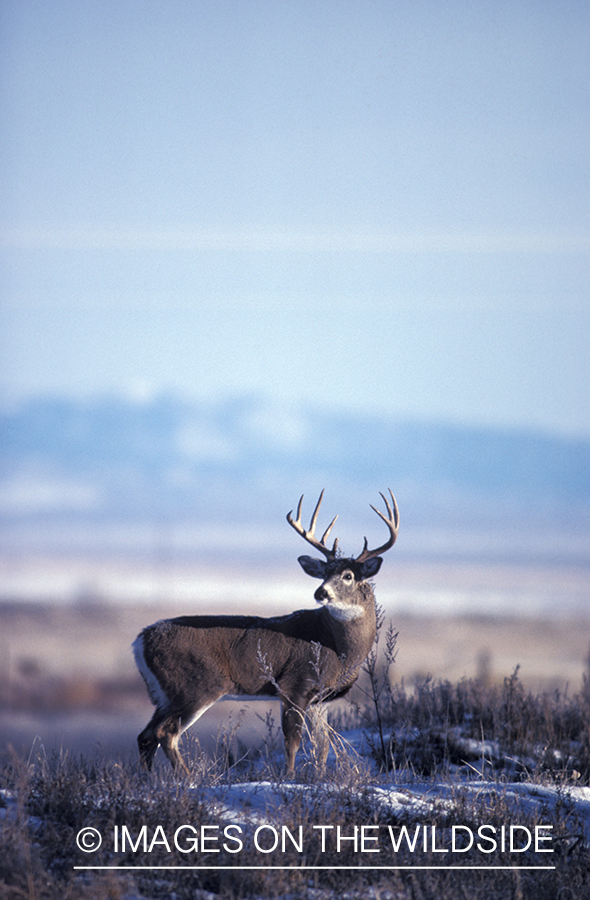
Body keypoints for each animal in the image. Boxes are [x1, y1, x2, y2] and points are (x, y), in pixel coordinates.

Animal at [134, 488, 400, 776]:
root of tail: (140, 641)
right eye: (324, 574)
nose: (321, 592)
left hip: (164, 694)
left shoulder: (321, 699)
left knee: (145, 735)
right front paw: (289, 777)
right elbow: (292, 742)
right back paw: (186, 778)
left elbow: (322, 747)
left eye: (348, 575)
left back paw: (148, 781)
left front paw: (318, 777)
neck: (338, 648)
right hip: (195, 685)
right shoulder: (295, 685)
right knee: (165, 733)